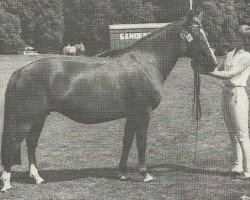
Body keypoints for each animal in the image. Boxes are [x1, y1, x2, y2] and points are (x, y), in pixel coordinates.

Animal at [0, 10, 217, 192]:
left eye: (204, 32)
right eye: (196, 34)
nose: (213, 63)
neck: (146, 62)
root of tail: (21, 71)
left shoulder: (132, 114)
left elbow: (127, 141)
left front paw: (121, 173)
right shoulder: (143, 112)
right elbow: (141, 142)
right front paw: (145, 174)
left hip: (39, 117)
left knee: (31, 143)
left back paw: (37, 178)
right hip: (25, 119)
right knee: (13, 143)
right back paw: (7, 183)